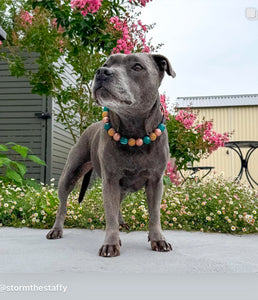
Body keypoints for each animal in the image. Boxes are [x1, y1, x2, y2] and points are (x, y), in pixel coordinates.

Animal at [45, 52, 175, 256]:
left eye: (137, 67)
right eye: (106, 64)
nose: (101, 72)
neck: (134, 132)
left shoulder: (155, 182)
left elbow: (154, 215)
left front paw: (158, 239)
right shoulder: (110, 181)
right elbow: (110, 214)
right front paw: (111, 243)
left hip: (121, 187)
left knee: (118, 204)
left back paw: (122, 223)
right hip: (70, 175)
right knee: (62, 205)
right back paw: (56, 229)